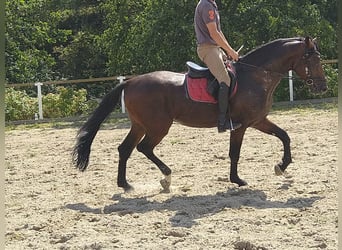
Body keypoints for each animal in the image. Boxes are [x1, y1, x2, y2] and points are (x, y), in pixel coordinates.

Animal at [73, 36, 326, 191]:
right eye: (313, 59)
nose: (322, 86)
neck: (256, 75)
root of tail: (132, 81)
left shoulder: (259, 120)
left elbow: (284, 136)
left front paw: (281, 167)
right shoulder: (242, 125)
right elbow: (235, 153)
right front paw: (238, 180)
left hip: (140, 125)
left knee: (125, 149)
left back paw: (125, 185)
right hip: (158, 126)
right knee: (144, 148)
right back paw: (166, 177)